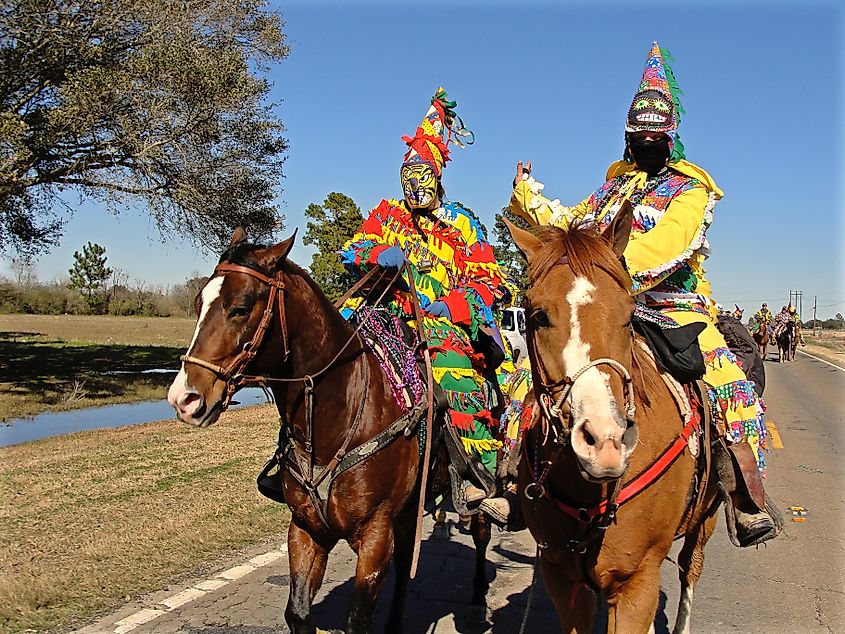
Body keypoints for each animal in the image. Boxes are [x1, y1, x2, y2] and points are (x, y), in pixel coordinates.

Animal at [167, 228, 492, 632]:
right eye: (199, 303)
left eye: (240, 307)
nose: (184, 398)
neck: (333, 423)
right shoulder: (306, 528)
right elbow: (298, 611)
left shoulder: (374, 535)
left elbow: (358, 619)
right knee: (406, 565)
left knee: (481, 533)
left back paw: (479, 593)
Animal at [508, 205, 720, 628]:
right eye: (538, 316)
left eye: (627, 315)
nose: (604, 443)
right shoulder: (562, 578)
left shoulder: (638, 583)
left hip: (706, 520)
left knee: (691, 568)